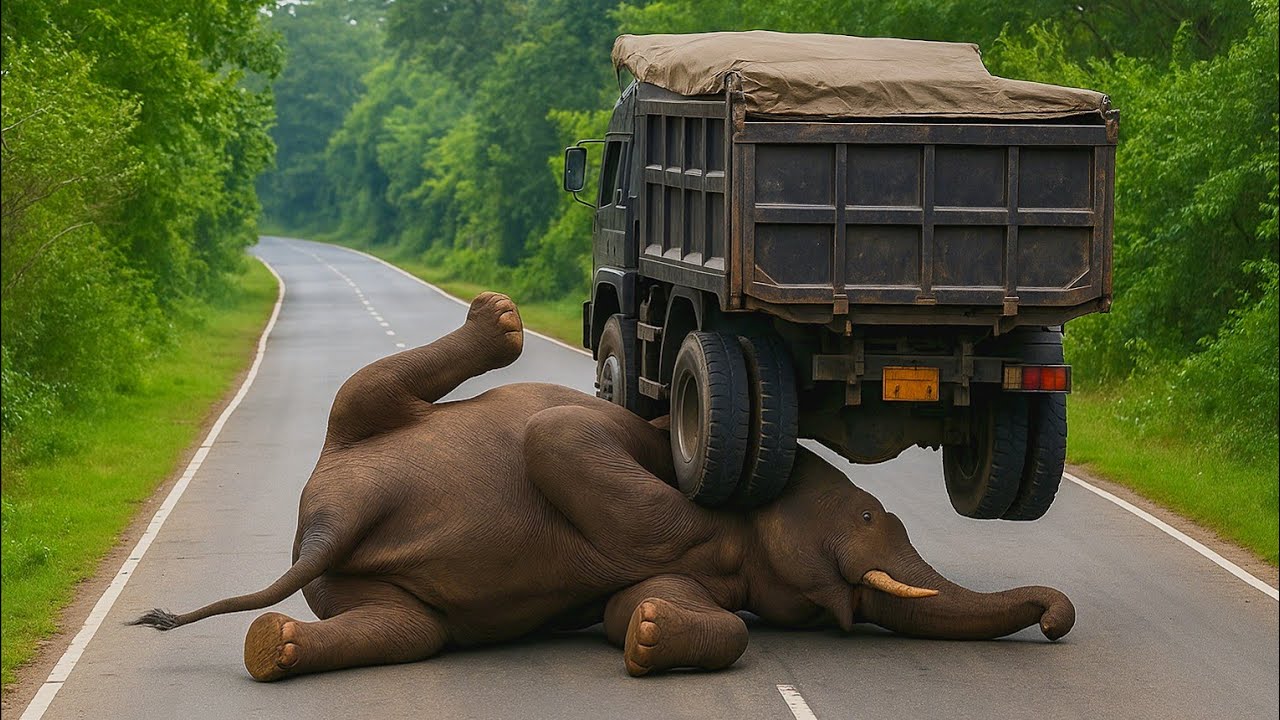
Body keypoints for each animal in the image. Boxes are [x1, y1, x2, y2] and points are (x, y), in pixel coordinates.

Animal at [134, 292, 1075, 681]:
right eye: (876, 513)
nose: (1057, 618)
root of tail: (331, 518)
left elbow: (645, 606)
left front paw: (651, 634)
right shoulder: (630, 440)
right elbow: (559, 439)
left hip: (371, 586)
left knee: (407, 633)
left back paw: (273, 650)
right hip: (353, 431)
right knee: (371, 389)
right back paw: (500, 322)